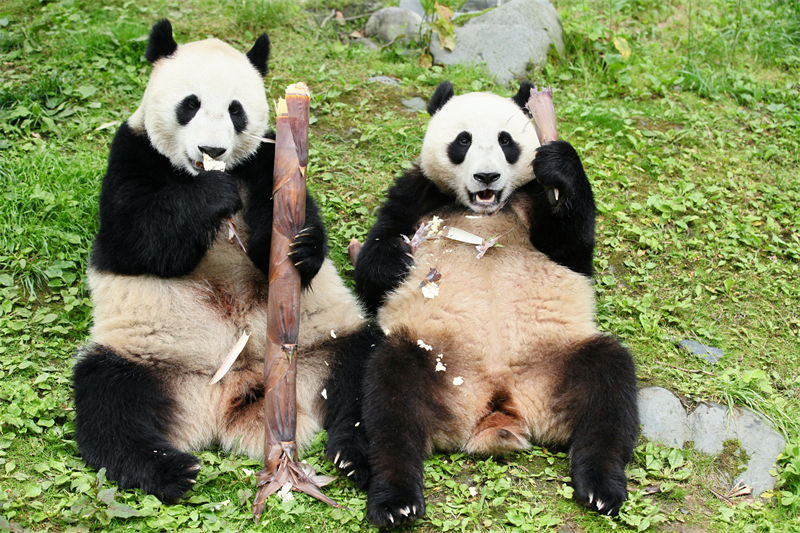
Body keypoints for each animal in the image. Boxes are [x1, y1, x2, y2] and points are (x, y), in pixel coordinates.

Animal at [72, 19, 377, 504]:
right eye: (189, 104)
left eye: (237, 111)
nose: (212, 150)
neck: (203, 173)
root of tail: (228, 402)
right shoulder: (132, 155)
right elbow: (138, 237)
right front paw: (210, 199)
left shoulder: (266, 160)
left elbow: (285, 229)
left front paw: (303, 248)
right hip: (144, 356)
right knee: (109, 402)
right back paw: (169, 470)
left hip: (326, 340)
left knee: (364, 376)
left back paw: (356, 457)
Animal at [351, 81, 639, 527]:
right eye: (463, 141)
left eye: (506, 142)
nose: (486, 176)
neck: (485, 209)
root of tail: (500, 402)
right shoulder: (417, 195)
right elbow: (372, 268)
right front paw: (398, 260)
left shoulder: (534, 200)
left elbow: (572, 248)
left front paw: (559, 160)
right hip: (435, 358)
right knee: (390, 400)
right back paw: (396, 501)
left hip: (557, 357)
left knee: (610, 389)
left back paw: (601, 487)